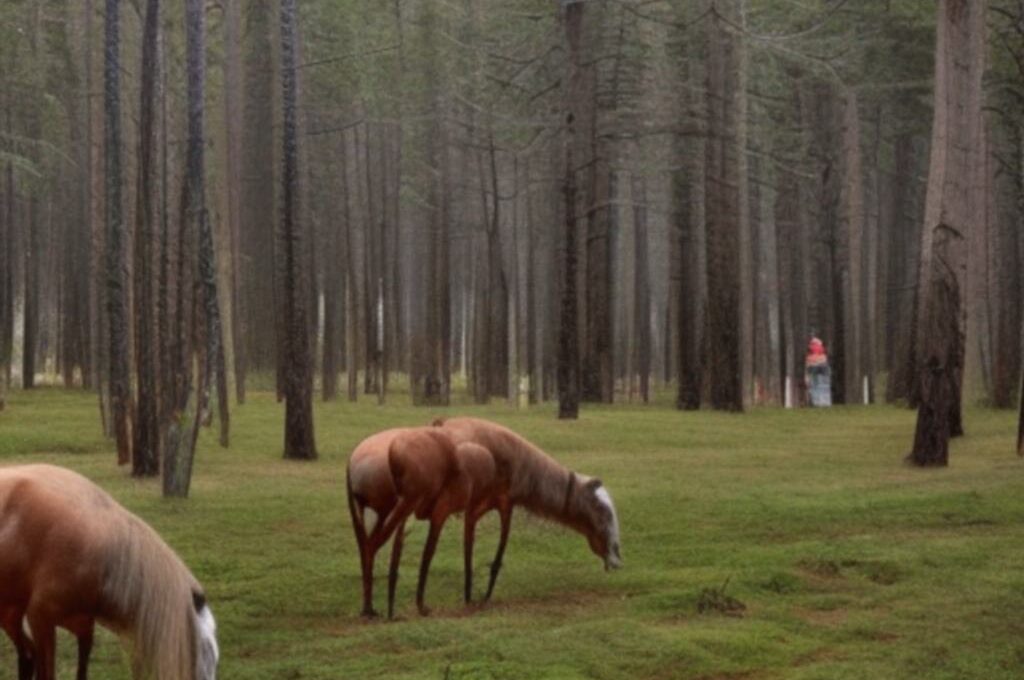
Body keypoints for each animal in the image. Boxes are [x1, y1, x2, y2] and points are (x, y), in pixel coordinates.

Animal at [346, 428, 505, 618]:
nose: (478, 599)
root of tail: (352, 462)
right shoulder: (441, 508)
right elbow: (430, 550)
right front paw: (423, 608)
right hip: (402, 502)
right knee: (372, 545)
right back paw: (373, 610)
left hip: (382, 509)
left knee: (367, 544)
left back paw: (372, 610)